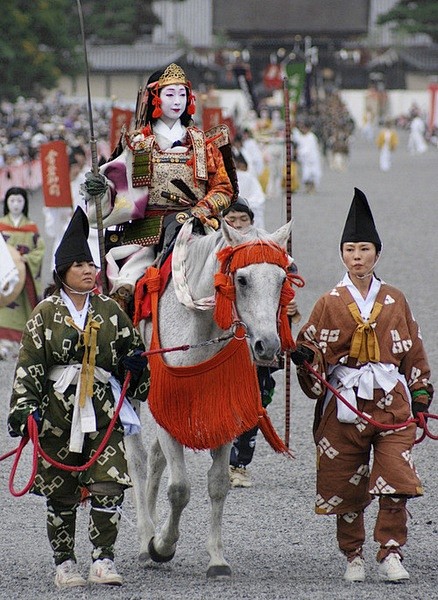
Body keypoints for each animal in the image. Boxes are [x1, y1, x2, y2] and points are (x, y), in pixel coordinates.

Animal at [125, 218, 292, 580]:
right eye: (241, 279)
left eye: (281, 280)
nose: (268, 345)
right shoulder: (167, 411)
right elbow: (180, 489)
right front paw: (162, 546)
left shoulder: (223, 412)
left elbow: (217, 484)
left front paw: (216, 558)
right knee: (139, 460)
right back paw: (146, 538)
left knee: (155, 459)